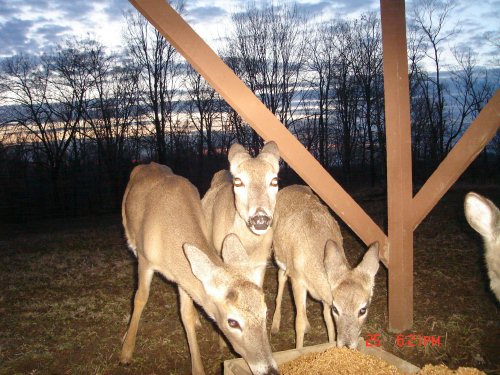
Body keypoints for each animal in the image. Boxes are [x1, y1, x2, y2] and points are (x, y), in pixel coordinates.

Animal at [119, 163, 280, 375]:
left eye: (265, 312)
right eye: (233, 322)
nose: (270, 370)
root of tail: (147, 164)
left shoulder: (181, 277)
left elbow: (185, 314)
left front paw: (197, 367)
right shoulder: (146, 259)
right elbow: (139, 297)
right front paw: (126, 352)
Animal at [270, 187, 378, 352]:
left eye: (363, 309)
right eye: (336, 309)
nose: (347, 345)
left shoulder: (326, 296)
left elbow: (328, 320)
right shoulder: (297, 279)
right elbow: (298, 323)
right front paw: (298, 349)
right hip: (279, 255)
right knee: (281, 277)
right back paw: (275, 326)